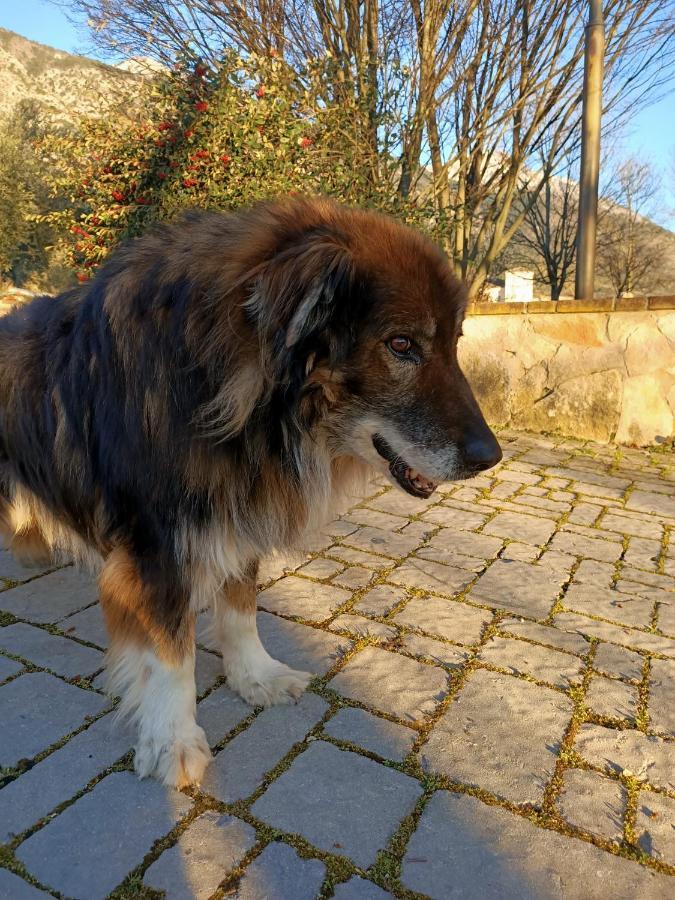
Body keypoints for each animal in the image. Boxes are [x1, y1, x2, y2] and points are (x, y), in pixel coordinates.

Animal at [0, 199, 502, 788]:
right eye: (401, 344)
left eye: (453, 344)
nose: (490, 456)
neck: (217, 386)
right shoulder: (157, 549)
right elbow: (173, 654)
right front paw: (172, 739)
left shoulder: (237, 506)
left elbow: (241, 607)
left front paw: (255, 675)